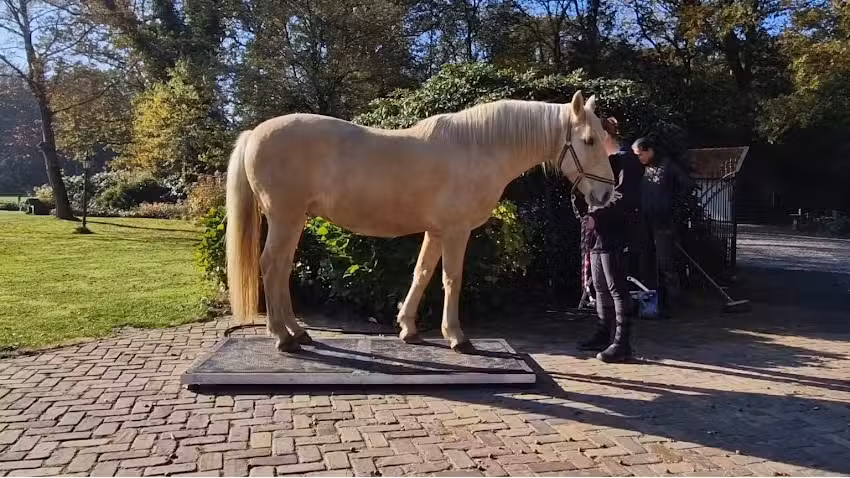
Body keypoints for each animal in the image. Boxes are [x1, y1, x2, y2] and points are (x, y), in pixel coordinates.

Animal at [225, 90, 616, 354]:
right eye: (588, 140)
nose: (606, 194)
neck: (477, 148)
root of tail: (254, 133)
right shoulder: (456, 231)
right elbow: (451, 279)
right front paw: (457, 337)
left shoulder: (436, 231)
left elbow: (422, 273)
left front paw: (408, 329)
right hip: (285, 219)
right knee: (271, 266)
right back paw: (283, 337)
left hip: (294, 221)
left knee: (282, 270)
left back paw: (297, 332)